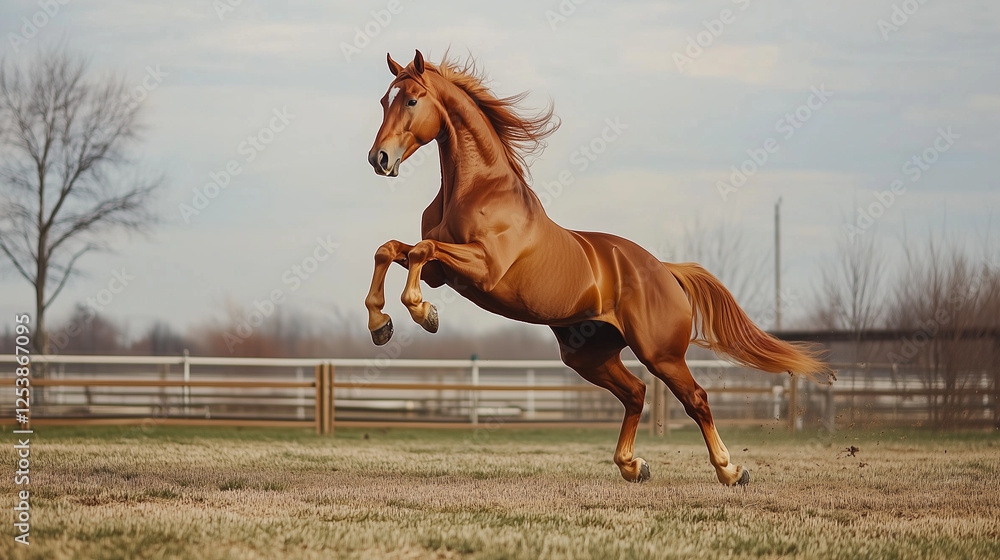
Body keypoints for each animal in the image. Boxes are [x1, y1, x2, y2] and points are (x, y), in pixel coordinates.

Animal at [364, 50, 834, 485]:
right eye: (385, 100)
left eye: (411, 100)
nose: (379, 159)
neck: (479, 189)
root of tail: (664, 270)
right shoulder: (445, 273)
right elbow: (390, 250)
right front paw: (380, 325)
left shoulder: (483, 269)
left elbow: (420, 251)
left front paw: (423, 314)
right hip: (590, 355)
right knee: (636, 394)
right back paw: (634, 466)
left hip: (661, 355)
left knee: (695, 399)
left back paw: (731, 471)